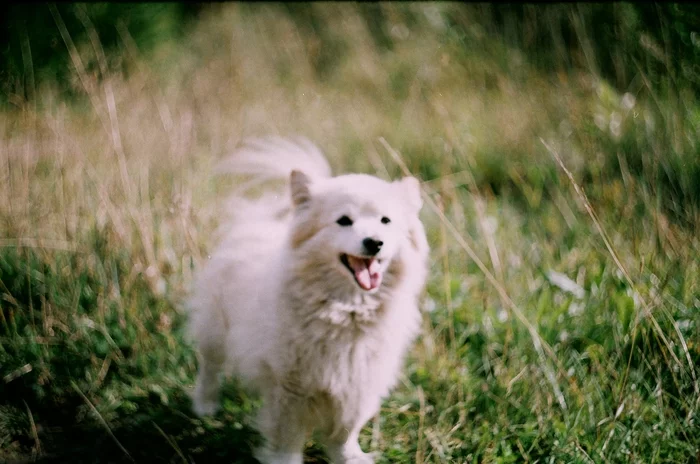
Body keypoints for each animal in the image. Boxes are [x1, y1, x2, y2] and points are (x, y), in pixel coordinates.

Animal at [187, 138, 426, 464]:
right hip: (215, 330)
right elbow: (287, 435)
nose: (375, 242)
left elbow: (344, 432)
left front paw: (349, 457)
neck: (345, 310)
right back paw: (205, 405)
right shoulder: (290, 386)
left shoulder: (358, 383)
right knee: (210, 366)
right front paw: (285, 460)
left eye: (385, 221)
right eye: (344, 221)